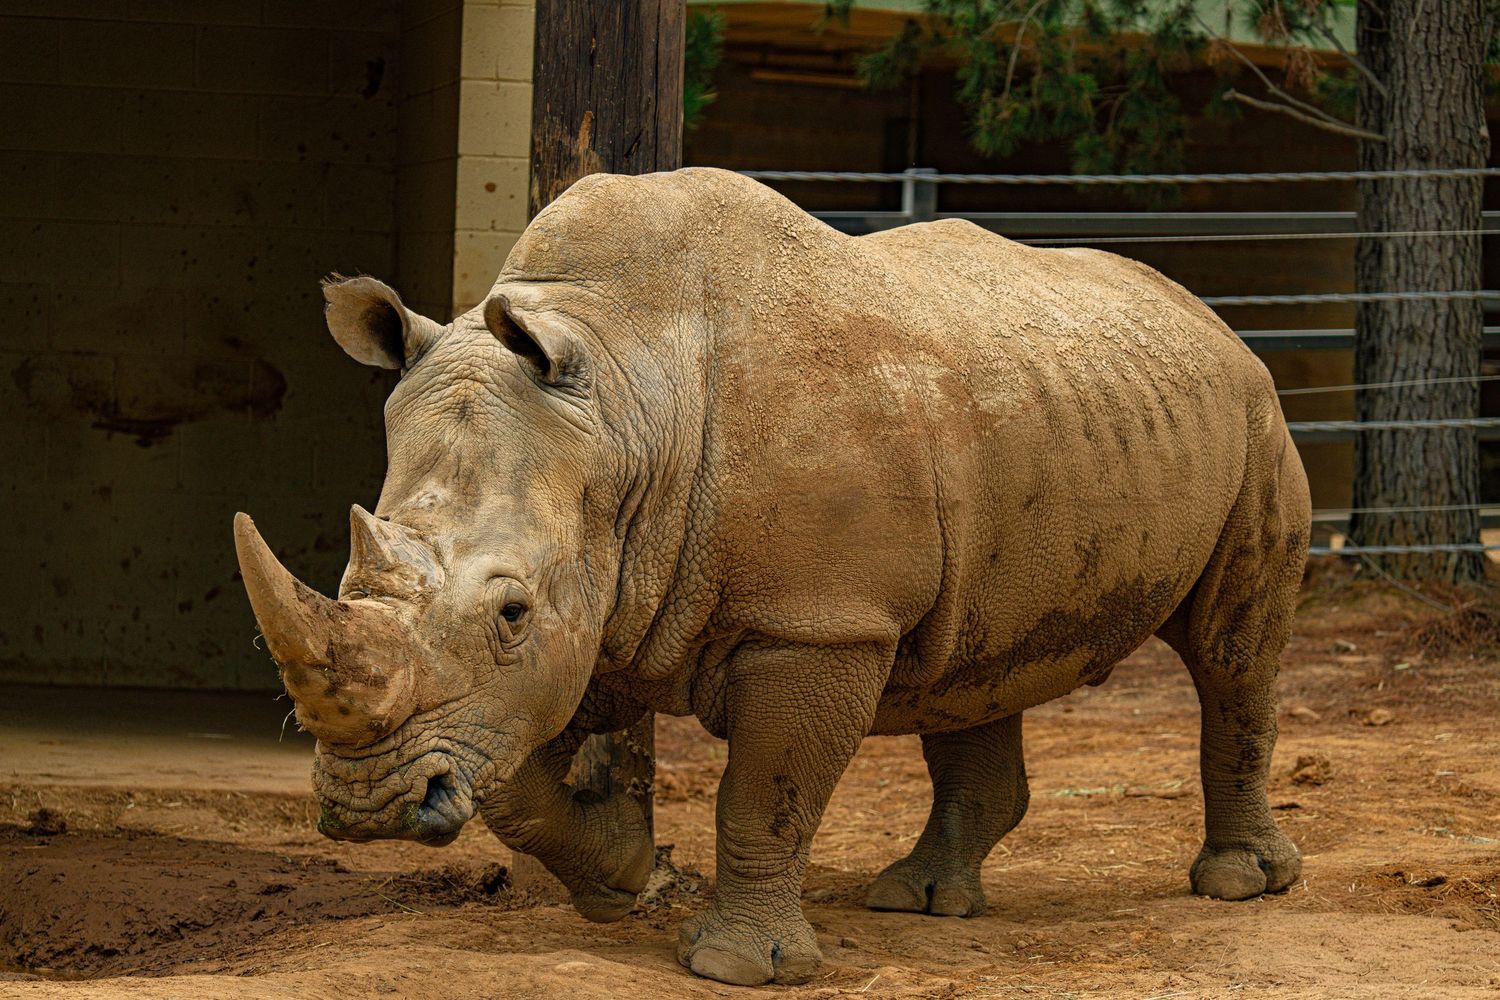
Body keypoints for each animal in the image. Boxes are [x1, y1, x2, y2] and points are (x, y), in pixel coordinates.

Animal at [234, 167, 1310, 987]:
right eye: (349, 573)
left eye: (510, 610)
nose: (369, 807)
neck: (625, 401)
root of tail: (1203, 311)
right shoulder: (601, 610)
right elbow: (514, 781)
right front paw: (622, 876)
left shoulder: (819, 621)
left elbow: (767, 789)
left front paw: (736, 966)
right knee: (973, 665)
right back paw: (924, 901)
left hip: (1252, 412)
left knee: (1231, 651)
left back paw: (1239, 884)